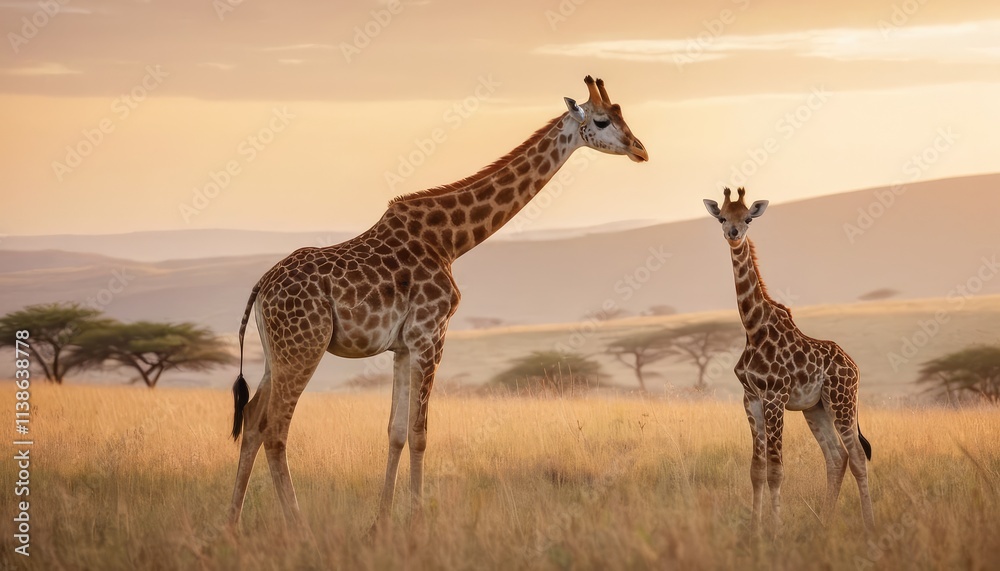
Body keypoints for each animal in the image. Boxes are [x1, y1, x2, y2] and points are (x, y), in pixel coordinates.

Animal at [226, 76, 648, 531]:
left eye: (622, 114)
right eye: (602, 121)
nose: (641, 149)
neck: (450, 240)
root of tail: (261, 287)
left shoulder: (402, 346)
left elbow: (395, 431)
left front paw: (381, 523)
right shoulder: (431, 334)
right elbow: (420, 433)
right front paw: (415, 520)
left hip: (278, 354)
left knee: (253, 419)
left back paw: (231, 524)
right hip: (304, 347)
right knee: (276, 429)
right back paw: (299, 528)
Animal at [703, 188, 874, 536]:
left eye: (748, 218)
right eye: (722, 217)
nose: (733, 234)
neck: (753, 328)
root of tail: (855, 367)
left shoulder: (775, 396)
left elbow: (776, 469)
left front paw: (775, 530)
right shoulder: (751, 397)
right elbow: (756, 469)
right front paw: (754, 530)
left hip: (842, 401)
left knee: (857, 456)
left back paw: (868, 525)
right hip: (816, 408)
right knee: (836, 457)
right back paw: (824, 522)